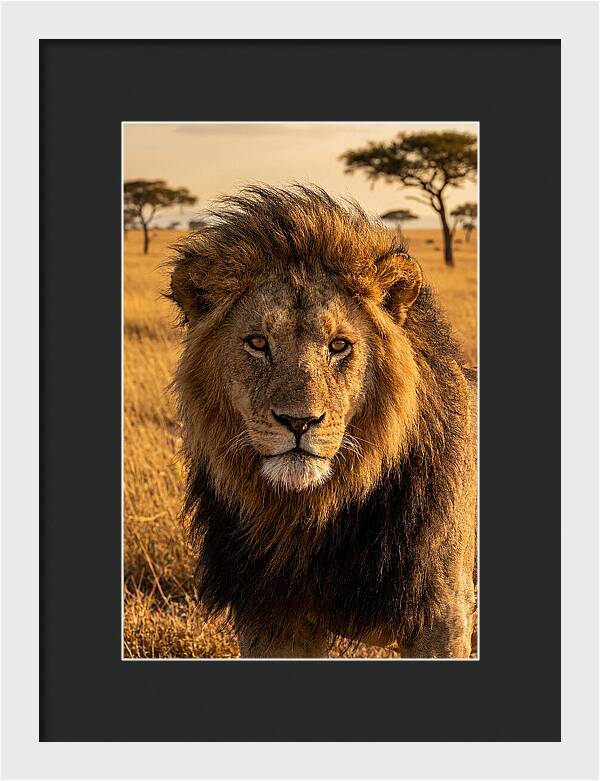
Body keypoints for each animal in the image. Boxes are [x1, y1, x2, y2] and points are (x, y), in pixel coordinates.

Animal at [168, 185, 477, 658]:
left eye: (339, 345)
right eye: (257, 343)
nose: (298, 422)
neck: (312, 514)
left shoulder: (443, 616)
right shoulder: (270, 619)